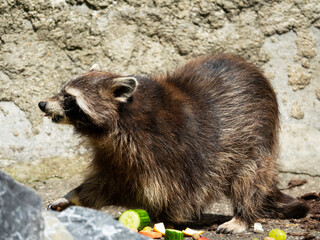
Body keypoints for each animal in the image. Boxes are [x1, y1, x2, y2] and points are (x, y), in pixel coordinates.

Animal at [38, 54, 308, 232]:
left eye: (69, 99)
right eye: (61, 91)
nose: (42, 104)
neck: (120, 119)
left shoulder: (168, 146)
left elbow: (174, 189)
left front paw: (166, 218)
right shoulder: (116, 155)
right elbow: (109, 184)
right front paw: (73, 196)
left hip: (255, 136)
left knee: (249, 176)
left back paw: (243, 216)